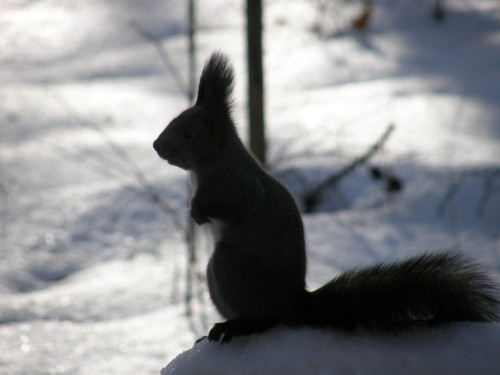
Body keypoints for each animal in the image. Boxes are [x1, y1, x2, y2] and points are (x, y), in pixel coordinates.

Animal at [153, 51, 500, 346]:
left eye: (187, 133)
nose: (156, 146)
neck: (212, 161)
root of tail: (295, 305)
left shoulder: (236, 184)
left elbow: (234, 203)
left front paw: (196, 211)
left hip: (228, 266)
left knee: (267, 320)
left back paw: (237, 327)